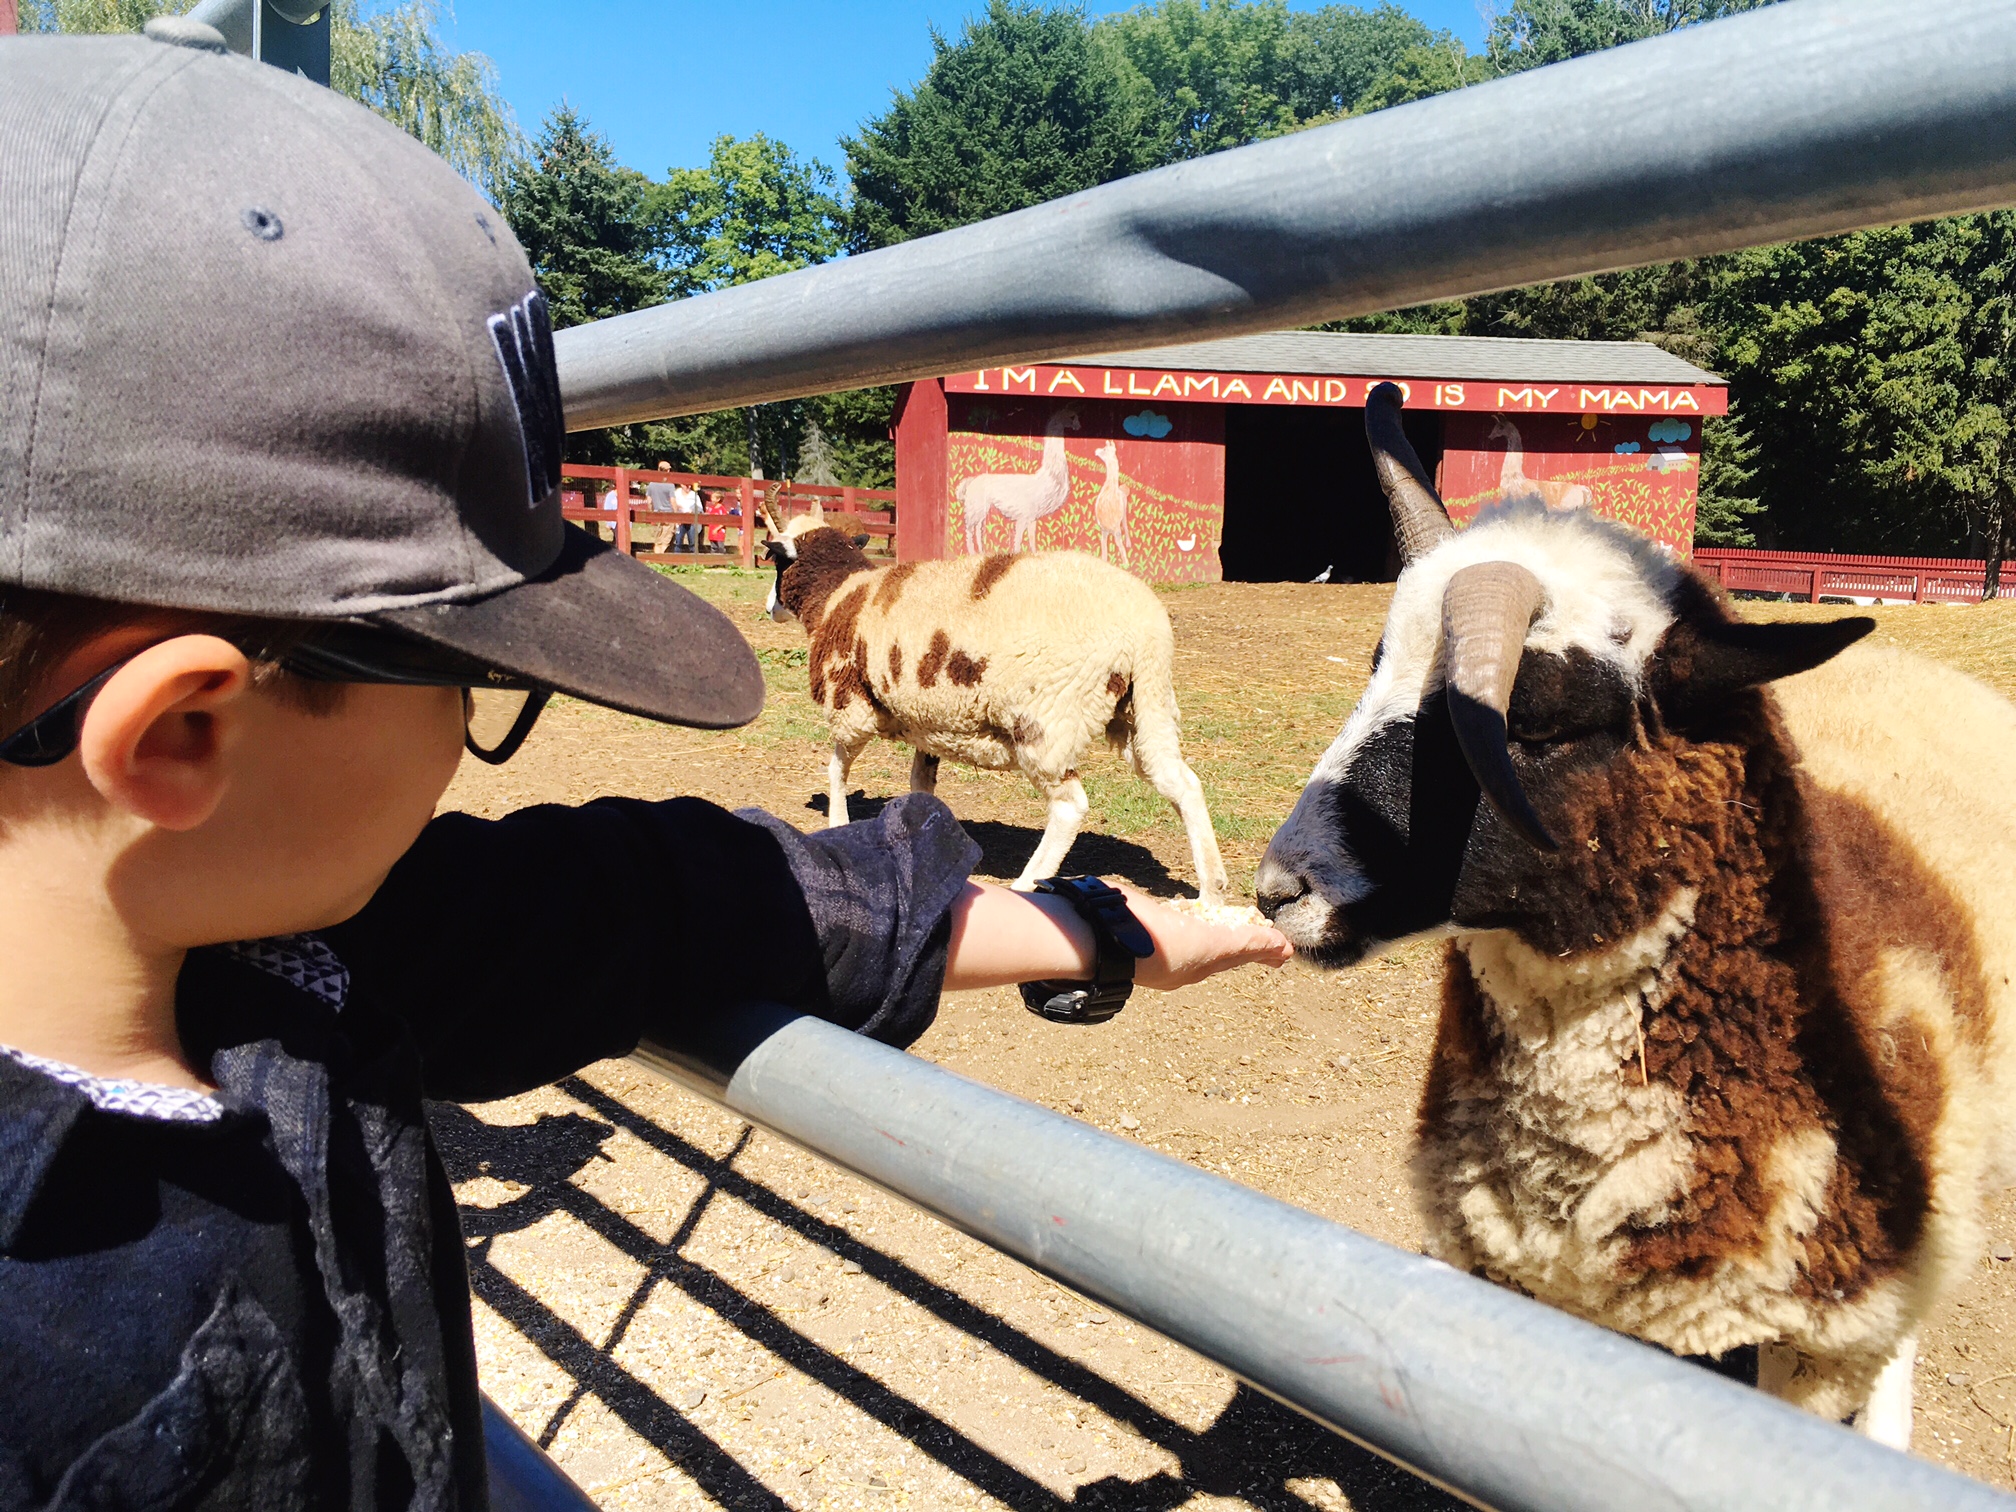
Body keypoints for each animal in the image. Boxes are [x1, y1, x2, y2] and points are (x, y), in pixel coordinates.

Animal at [762, 516, 1225, 907]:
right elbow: (920, 783)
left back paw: (1026, 884)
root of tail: (1145, 630)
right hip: (1144, 706)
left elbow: (837, 769)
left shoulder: (849, 702)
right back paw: (1211, 891)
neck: (839, 594)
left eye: (776, 563)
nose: (769, 608)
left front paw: (836, 824)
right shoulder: (927, 719)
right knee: (1181, 782)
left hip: (1047, 719)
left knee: (1070, 806)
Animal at [955, 409, 1080, 556]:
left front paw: (1035, 555)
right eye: (1072, 416)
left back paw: (980, 552)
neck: (1050, 476)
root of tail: (971, 481)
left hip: (981, 506)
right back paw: (973, 553)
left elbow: (1031, 537)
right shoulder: (1024, 514)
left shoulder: (1032, 516)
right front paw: (1016, 556)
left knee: (978, 527)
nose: (1078, 426)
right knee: (969, 528)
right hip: (975, 506)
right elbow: (1019, 539)